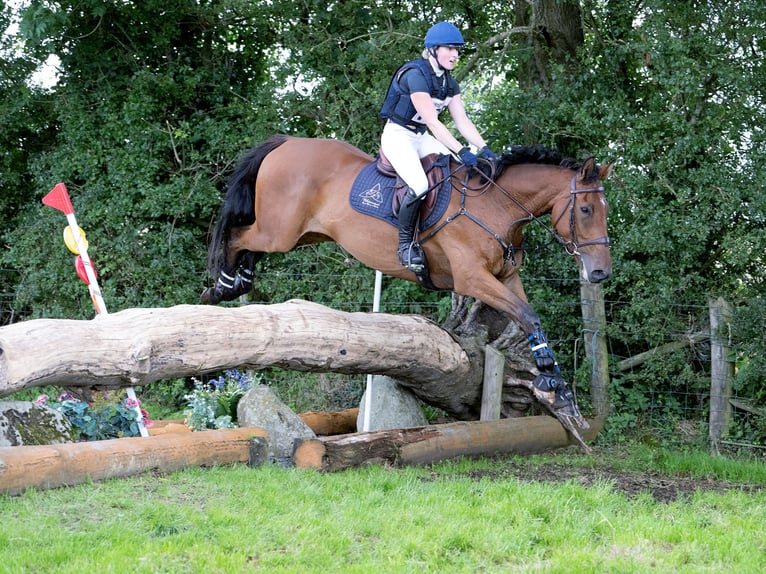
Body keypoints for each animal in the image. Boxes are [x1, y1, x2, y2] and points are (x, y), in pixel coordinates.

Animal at [201, 136, 616, 418]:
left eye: (604, 209)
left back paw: (236, 283)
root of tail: (287, 143)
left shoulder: (507, 278)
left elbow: (531, 318)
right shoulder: (472, 279)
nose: (599, 272)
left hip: (303, 233)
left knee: (251, 245)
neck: (497, 205)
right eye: (585, 209)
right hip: (281, 231)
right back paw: (220, 288)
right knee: (238, 236)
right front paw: (551, 381)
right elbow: (527, 316)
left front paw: (556, 384)